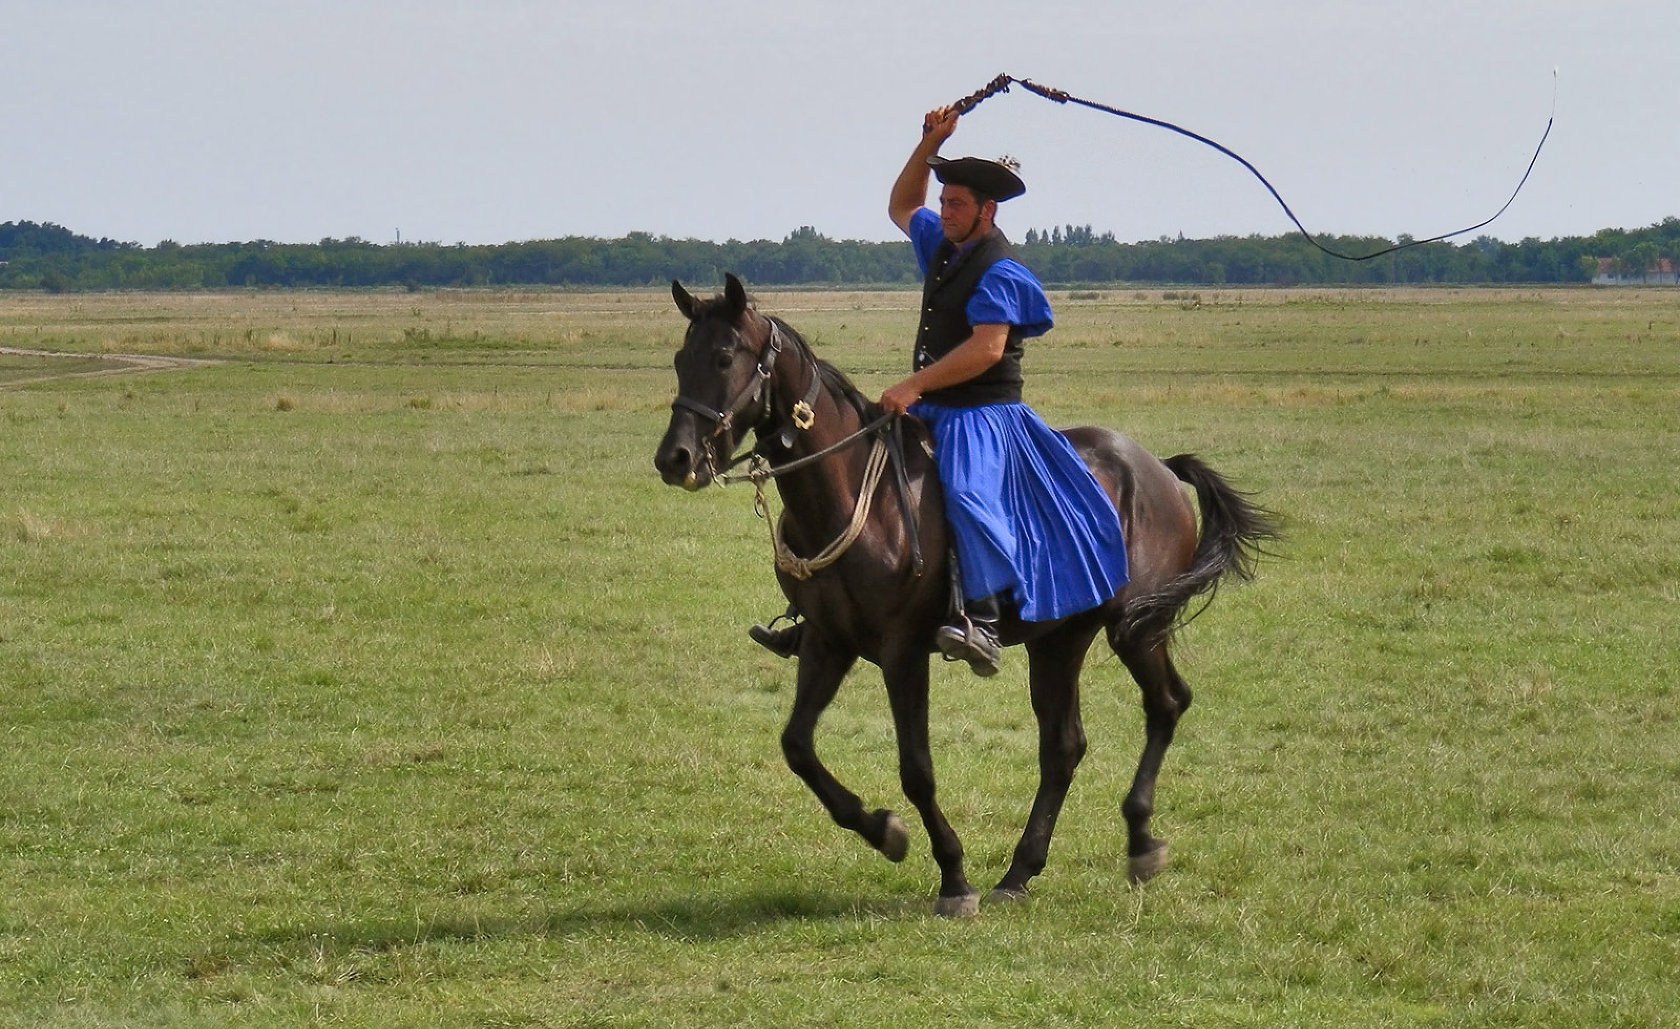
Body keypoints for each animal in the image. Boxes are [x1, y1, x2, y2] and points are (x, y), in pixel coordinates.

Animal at [655, 274, 1270, 914]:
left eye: (725, 357)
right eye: (679, 359)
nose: (674, 458)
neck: (854, 496)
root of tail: (1159, 470)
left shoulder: (902, 652)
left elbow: (916, 768)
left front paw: (952, 875)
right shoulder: (829, 643)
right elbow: (797, 746)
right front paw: (882, 830)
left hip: (1137, 630)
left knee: (1166, 704)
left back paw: (1141, 840)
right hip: (1060, 640)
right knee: (1063, 746)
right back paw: (1020, 871)